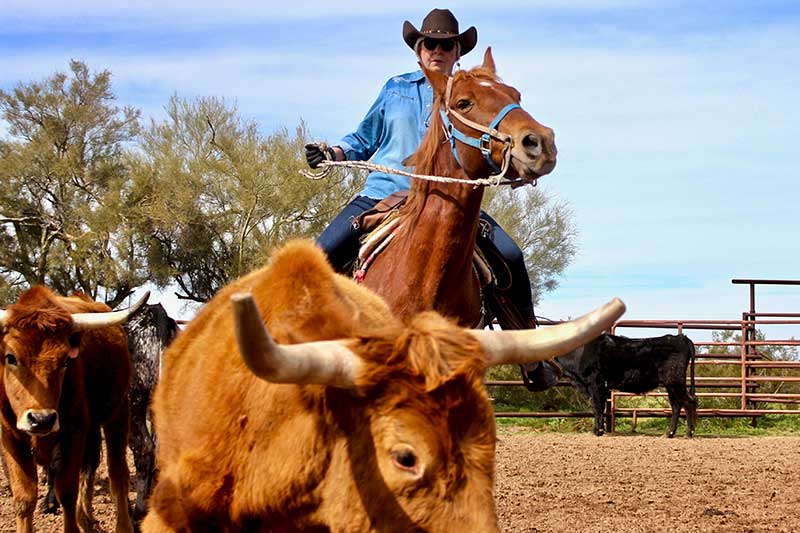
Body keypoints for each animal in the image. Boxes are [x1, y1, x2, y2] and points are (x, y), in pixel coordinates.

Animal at [0, 286, 148, 532]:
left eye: (65, 362)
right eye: (10, 357)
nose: (41, 420)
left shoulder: (74, 431)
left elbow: (67, 491)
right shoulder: (9, 437)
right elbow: (24, 498)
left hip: (118, 413)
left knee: (117, 474)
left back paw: (121, 524)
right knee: (90, 466)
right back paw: (86, 519)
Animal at [556, 332, 692, 436]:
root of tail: (680, 337)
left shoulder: (596, 384)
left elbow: (597, 407)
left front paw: (598, 431)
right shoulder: (601, 388)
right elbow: (600, 407)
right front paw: (599, 429)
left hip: (675, 382)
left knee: (689, 402)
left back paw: (689, 433)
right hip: (671, 386)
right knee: (677, 405)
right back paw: (669, 433)